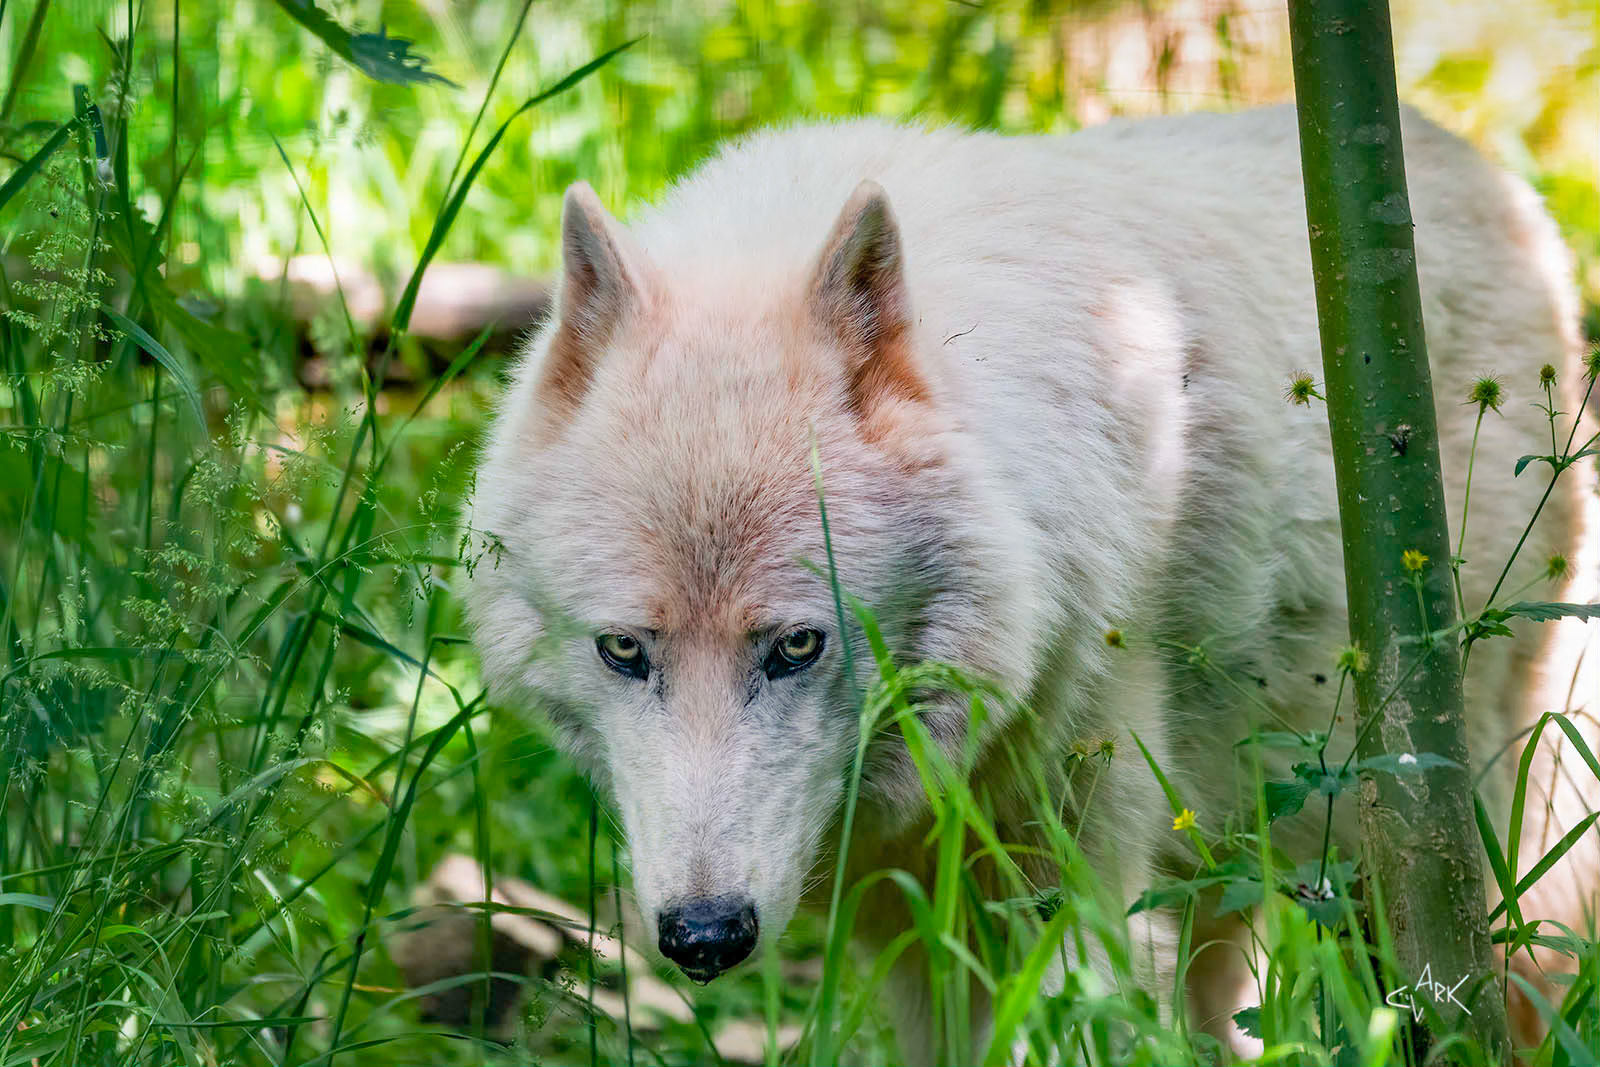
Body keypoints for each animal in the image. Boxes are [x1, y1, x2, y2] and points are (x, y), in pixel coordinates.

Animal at [466, 104, 1598, 1059]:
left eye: (795, 645)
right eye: (623, 649)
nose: (705, 935)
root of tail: (1498, 185)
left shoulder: (1077, 880)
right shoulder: (911, 920)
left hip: (1431, 840)